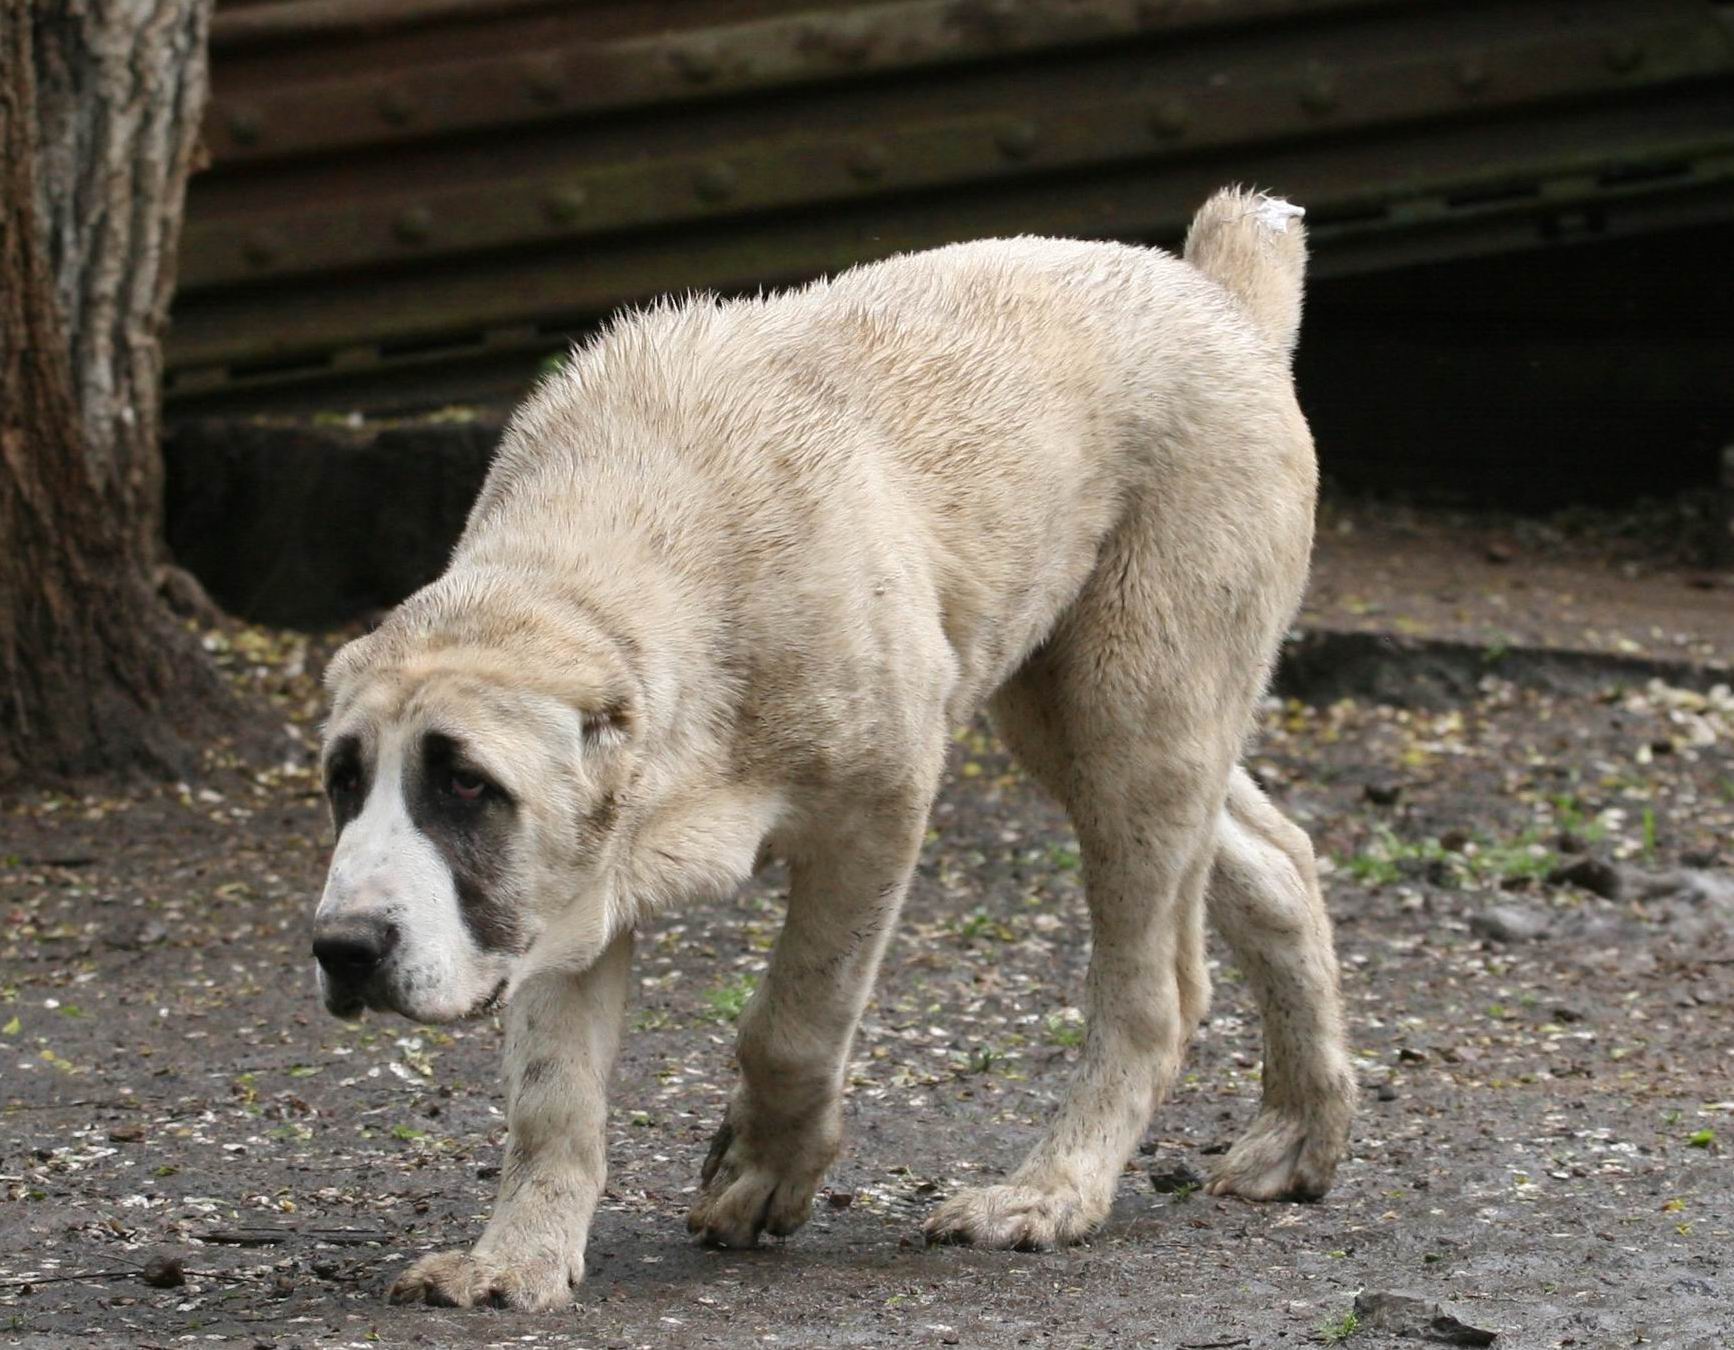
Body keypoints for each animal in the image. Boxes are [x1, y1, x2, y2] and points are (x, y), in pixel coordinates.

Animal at [319, 189, 1359, 1310]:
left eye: (467, 784)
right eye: (342, 782)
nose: (342, 950)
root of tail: (1222, 296)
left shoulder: (875, 812)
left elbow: (795, 1019)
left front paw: (767, 1165)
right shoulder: (563, 894)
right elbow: (552, 1095)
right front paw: (516, 1258)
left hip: (1133, 713)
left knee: (1154, 994)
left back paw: (1050, 1193)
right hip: (1083, 718)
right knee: (1275, 861)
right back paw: (1300, 1129)